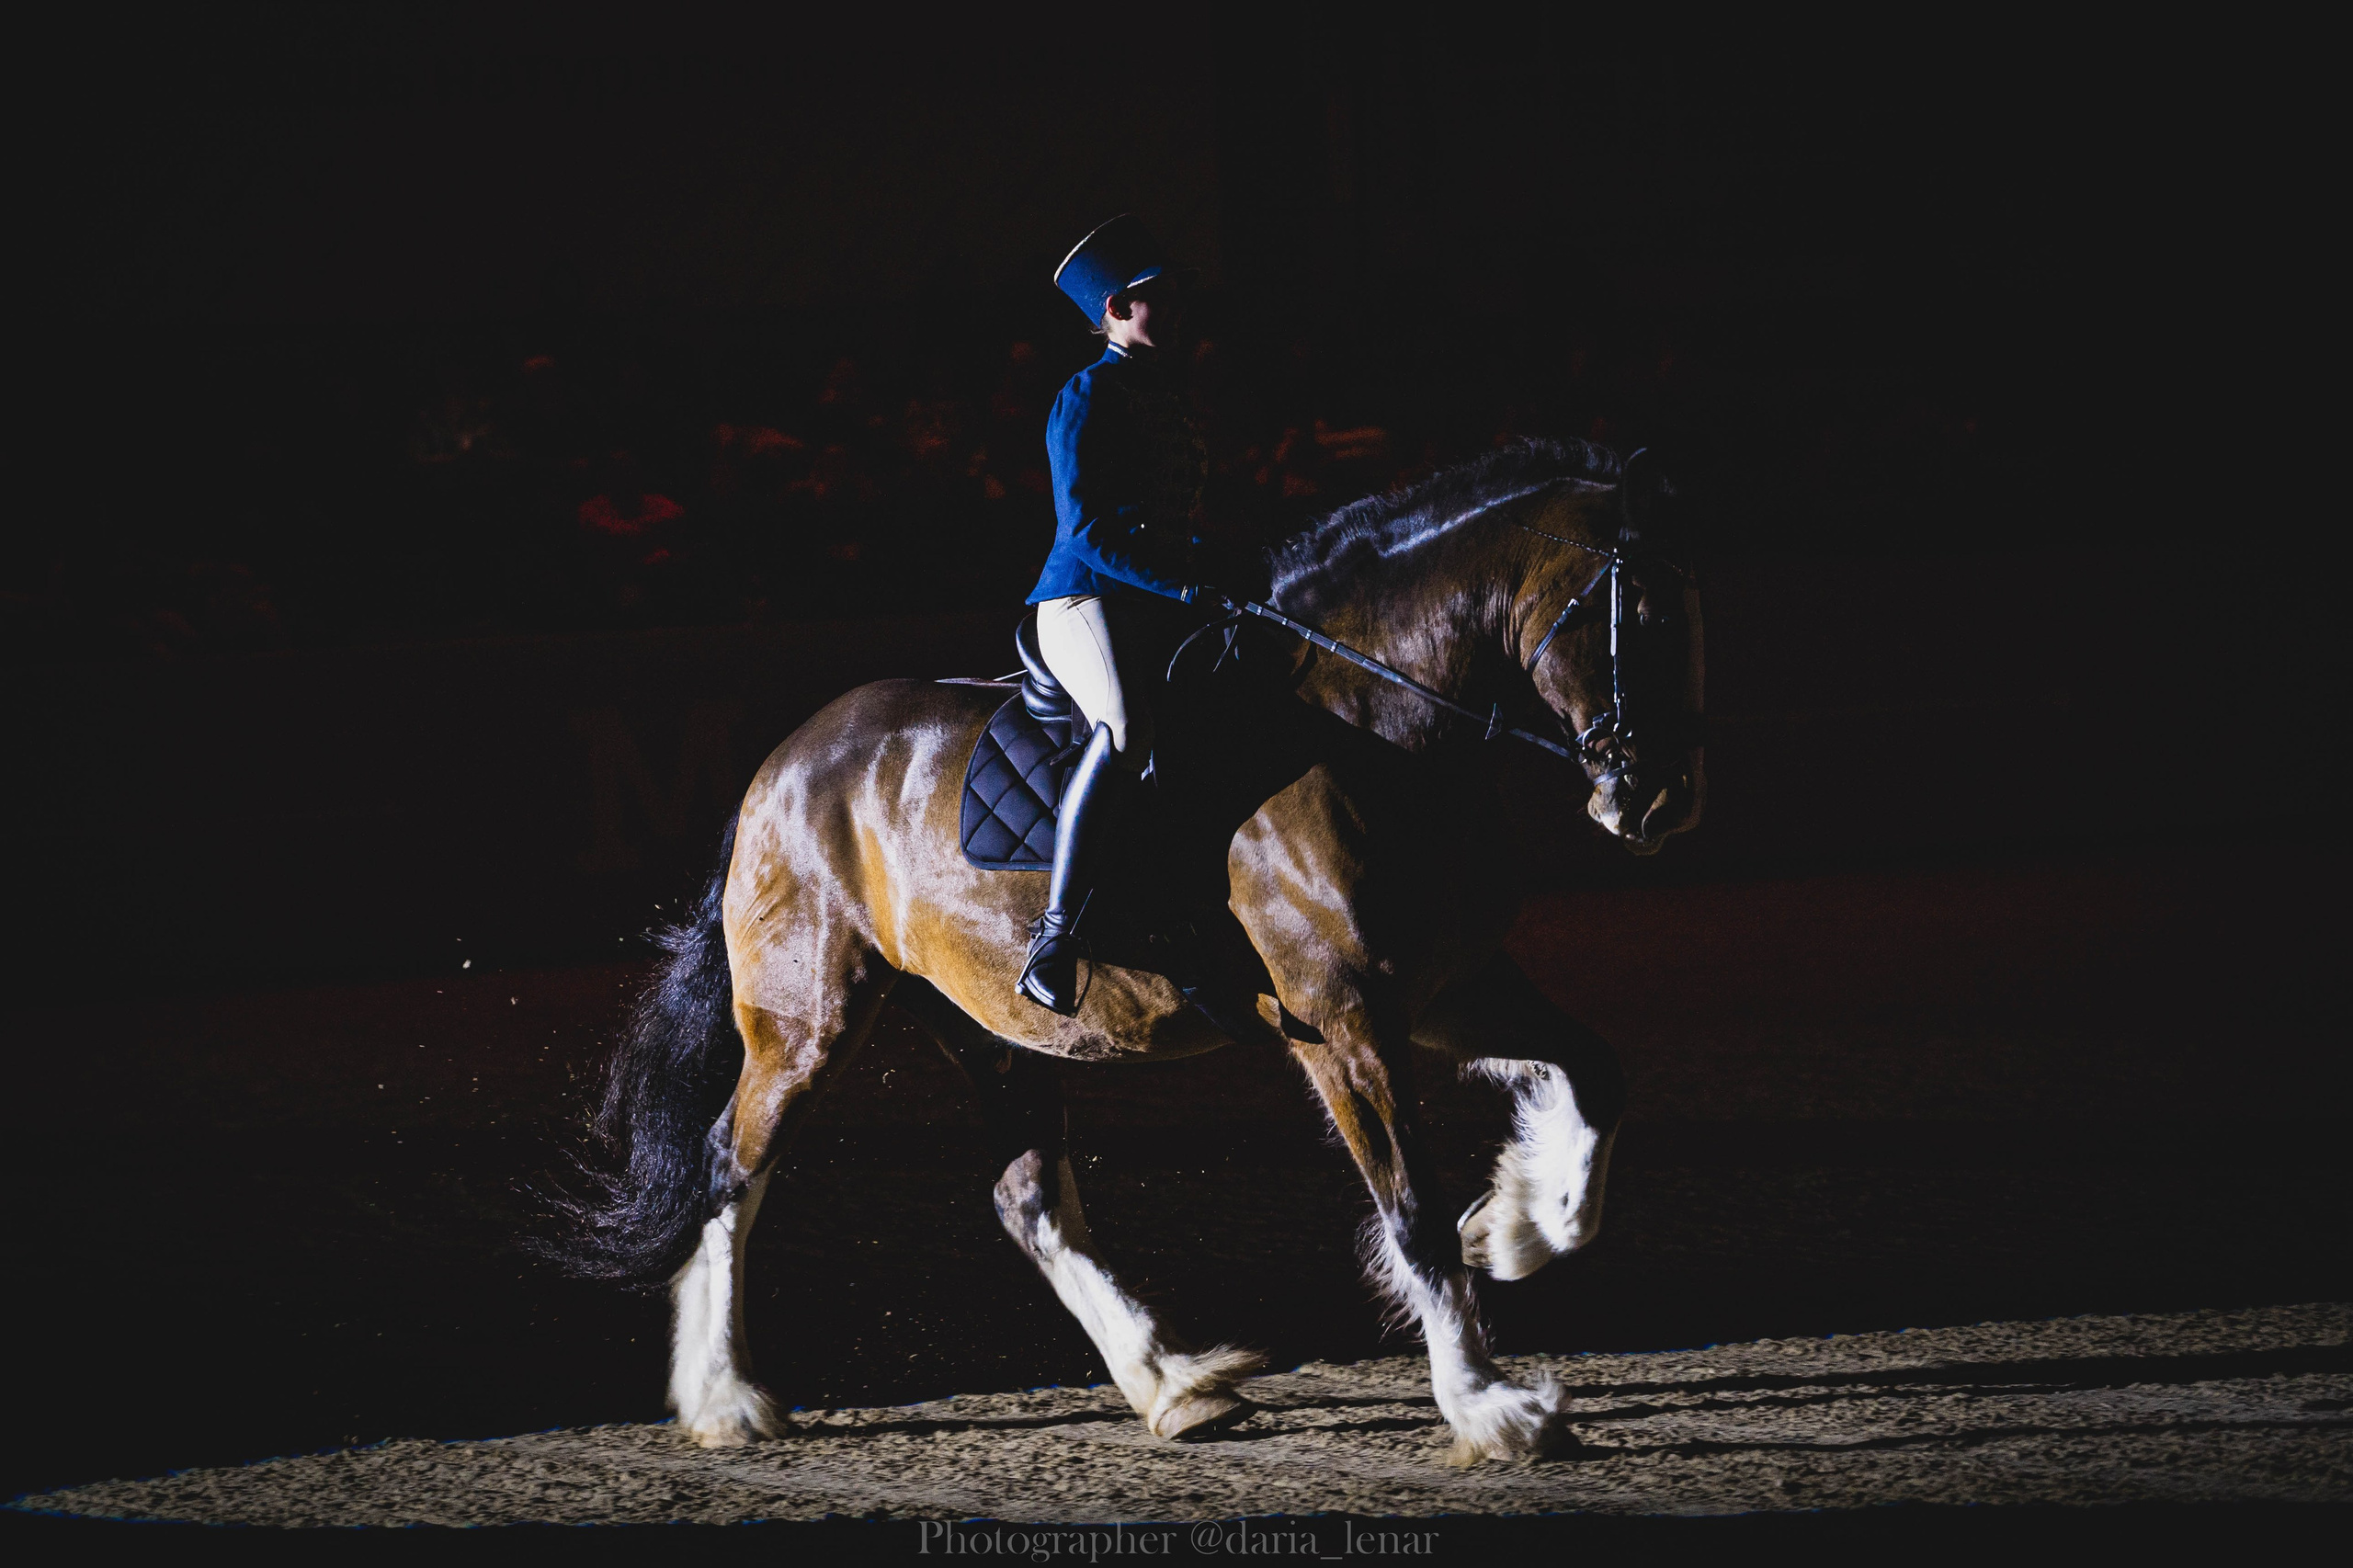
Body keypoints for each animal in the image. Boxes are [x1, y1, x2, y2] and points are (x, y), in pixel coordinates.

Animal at [550, 438, 1706, 1464]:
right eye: (1640, 614)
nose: (1656, 805)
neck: (1368, 729)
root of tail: (782, 764)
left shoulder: (1449, 986)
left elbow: (1596, 1072)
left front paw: (1516, 1225)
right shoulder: (1342, 1018)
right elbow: (1411, 1208)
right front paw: (1489, 1406)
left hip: (990, 1029)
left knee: (1028, 1200)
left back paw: (1176, 1385)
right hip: (807, 1020)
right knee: (729, 1168)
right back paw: (725, 1398)